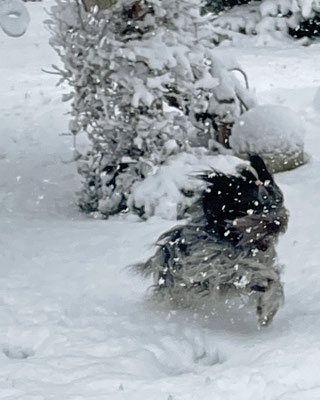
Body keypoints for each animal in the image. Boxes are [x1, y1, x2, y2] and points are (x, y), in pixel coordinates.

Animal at [136, 155, 288, 326]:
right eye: (252, 206)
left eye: (276, 202)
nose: (276, 223)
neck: (237, 240)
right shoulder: (206, 269)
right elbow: (241, 269)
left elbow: (274, 282)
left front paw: (267, 310)